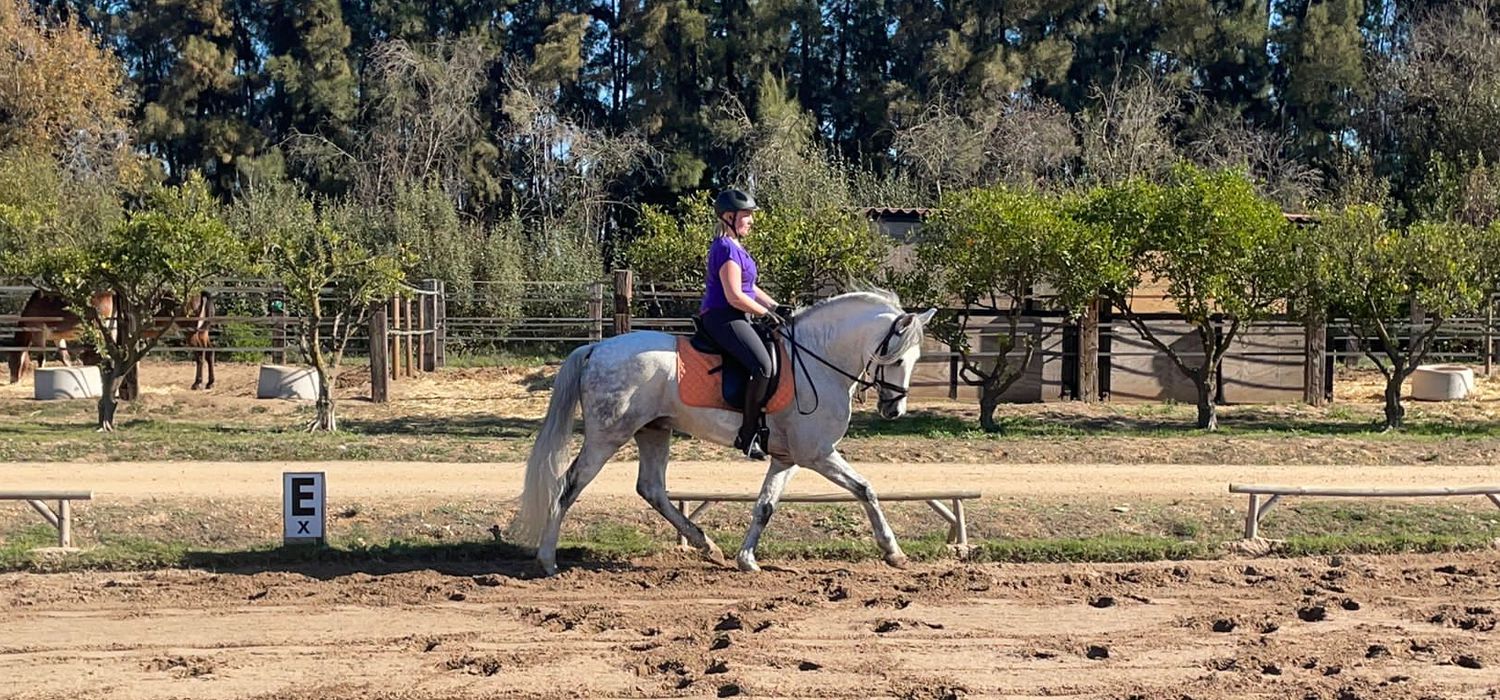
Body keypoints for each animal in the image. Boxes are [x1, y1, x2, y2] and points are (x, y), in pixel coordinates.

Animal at [5, 289, 219, 389]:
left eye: (11, 362)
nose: (13, 380)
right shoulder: (58, 338)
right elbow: (64, 358)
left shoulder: (39, 332)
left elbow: (40, 357)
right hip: (201, 332)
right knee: (209, 352)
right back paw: (209, 383)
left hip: (190, 332)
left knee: (200, 355)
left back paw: (197, 383)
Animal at [516, 287, 936, 578]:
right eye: (896, 358)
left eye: (916, 359)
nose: (894, 410)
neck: (818, 360)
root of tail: (596, 348)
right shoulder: (817, 453)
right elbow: (865, 489)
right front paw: (893, 551)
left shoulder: (788, 457)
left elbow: (765, 505)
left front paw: (746, 559)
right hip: (607, 437)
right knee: (569, 485)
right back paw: (548, 560)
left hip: (653, 431)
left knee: (652, 488)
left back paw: (707, 545)